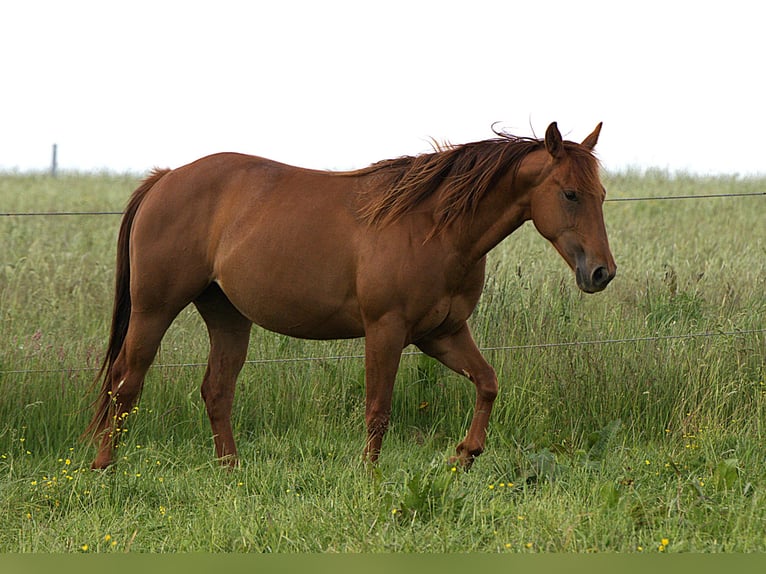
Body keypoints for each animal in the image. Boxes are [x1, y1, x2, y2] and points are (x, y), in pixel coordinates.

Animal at [85, 122, 616, 470]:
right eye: (570, 194)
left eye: (602, 194)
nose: (601, 273)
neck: (434, 227)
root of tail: (166, 178)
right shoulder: (385, 331)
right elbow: (378, 410)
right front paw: (369, 476)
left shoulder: (442, 333)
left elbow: (487, 382)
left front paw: (465, 454)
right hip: (155, 310)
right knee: (125, 383)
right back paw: (105, 468)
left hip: (228, 316)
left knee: (216, 390)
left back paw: (231, 470)